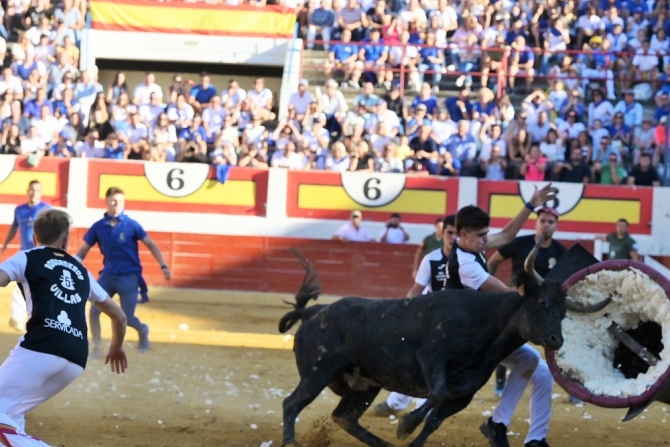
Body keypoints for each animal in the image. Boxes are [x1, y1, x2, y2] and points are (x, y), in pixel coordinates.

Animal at [280, 245, 616, 447]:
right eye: (543, 302)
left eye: (563, 313)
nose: (556, 340)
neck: (487, 325)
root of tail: (314, 312)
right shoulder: (431, 357)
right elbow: (435, 395)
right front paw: (405, 426)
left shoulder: (462, 394)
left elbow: (433, 421)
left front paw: (411, 437)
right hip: (318, 372)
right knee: (292, 404)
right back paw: (290, 441)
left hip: (364, 385)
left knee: (344, 417)